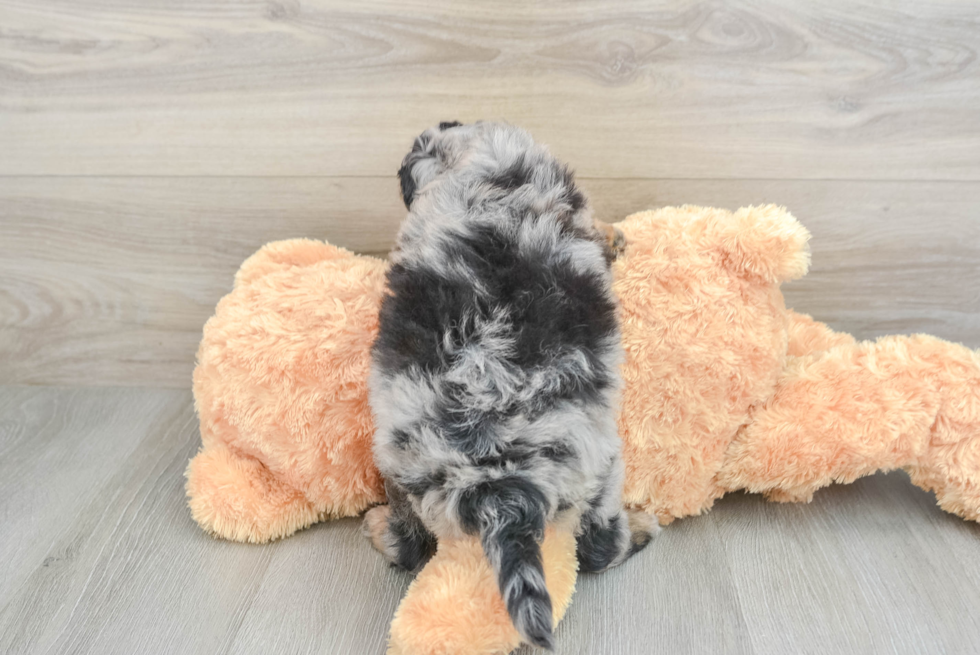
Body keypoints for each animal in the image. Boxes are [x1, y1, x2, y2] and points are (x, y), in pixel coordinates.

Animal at [364, 120, 656, 648]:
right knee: (599, 545)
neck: (472, 161)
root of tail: (498, 478)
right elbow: (594, 224)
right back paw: (640, 528)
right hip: (603, 468)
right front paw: (613, 236)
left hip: (400, 465)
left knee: (410, 544)